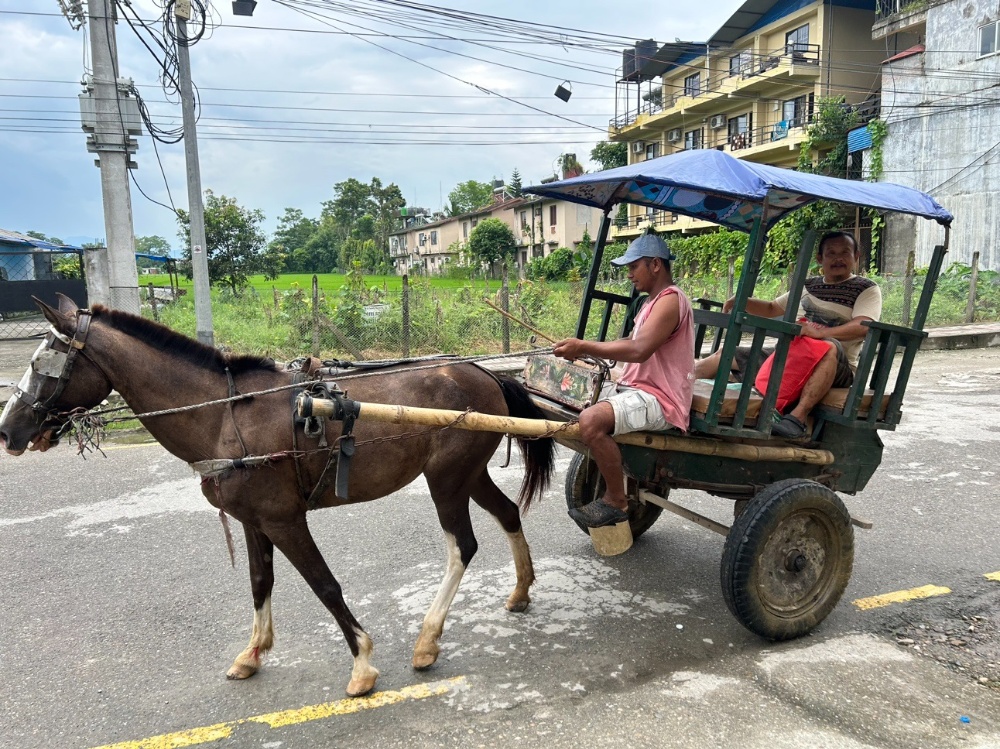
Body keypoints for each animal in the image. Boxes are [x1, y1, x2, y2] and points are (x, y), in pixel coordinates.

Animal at [1, 296, 556, 700]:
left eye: (45, 365)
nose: (8, 430)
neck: (224, 416)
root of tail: (486, 373)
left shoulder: (285, 519)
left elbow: (324, 585)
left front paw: (362, 663)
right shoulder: (253, 520)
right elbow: (259, 582)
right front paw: (252, 653)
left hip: (446, 481)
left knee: (462, 546)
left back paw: (427, 639)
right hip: (467, 475)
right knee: (507, 513)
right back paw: (520, 590)